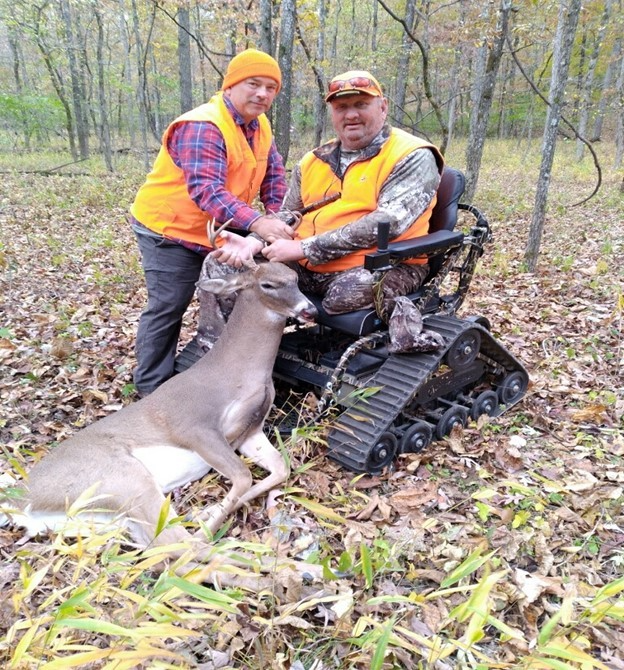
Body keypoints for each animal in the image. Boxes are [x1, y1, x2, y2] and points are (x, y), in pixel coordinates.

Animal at [4, 266, 316, 592]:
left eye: (296, 279)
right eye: (268, 284)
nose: (310, 310)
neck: (240, 373)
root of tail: (19, 501)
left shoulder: (250, 432)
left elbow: (281, 469)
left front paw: (211, 512)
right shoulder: (193, 426)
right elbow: (243, 476)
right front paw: (208, 517)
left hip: (113, 515)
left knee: (166, 557)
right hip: (122, 479)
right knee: (185, 546)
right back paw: (300, 574)